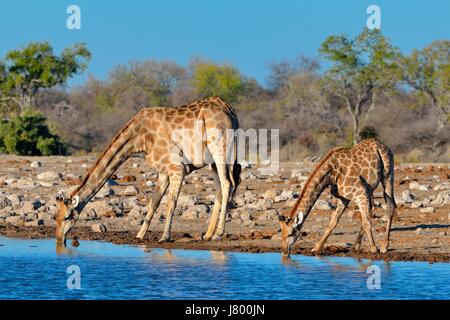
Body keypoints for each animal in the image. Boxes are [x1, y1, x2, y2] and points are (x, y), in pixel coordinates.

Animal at [56, 96, 243, 246]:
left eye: (67, 216)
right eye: (55, 217)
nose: (59, 238)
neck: (139, 138)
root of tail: (231, 111)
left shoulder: (177, 168)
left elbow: (171, 203)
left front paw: (165, 237)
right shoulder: (163, 172)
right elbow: (153, 203)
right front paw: (140, 236)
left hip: (220, 147)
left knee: (227, 183)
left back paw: (218, 233)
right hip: (214, 158)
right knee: (220, 188)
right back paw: (208, 234)